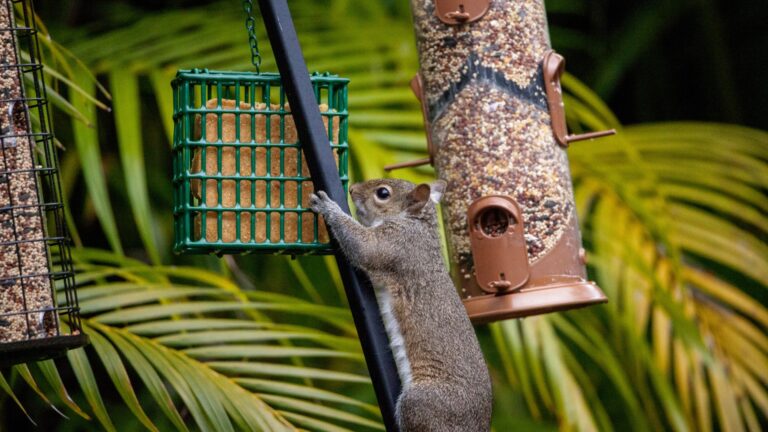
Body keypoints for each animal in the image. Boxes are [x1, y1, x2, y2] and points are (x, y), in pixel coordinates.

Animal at [310, 179, 492, 432]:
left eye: (383, 193)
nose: (352, 190)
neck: (415, 223)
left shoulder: (396, 244)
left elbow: (364, 247)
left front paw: (329, 207)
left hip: (421, 404)